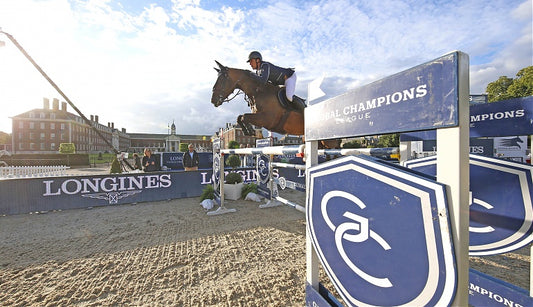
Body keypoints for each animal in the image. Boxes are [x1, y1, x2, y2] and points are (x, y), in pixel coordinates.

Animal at [210, 60, 338, 149]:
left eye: (222, 79)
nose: (213, 100)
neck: (258, 92)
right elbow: (240, 117)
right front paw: (249, 131)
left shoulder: (267, 119)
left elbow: (244, 116)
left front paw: (251, 131)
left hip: (328, 141)